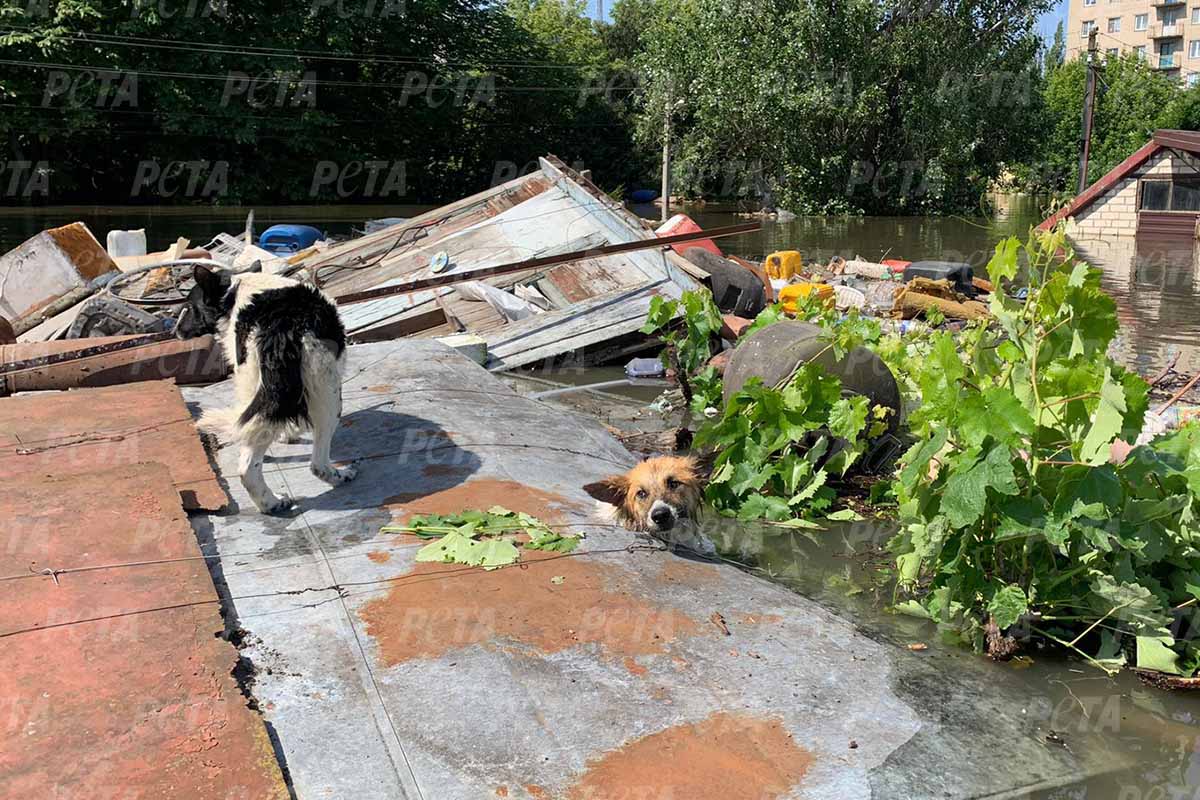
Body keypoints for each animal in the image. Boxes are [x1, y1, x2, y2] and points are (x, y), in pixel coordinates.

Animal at [176, 262, 355, 513]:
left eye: (189, 308)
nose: (175, 330)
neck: (232, 293)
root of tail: (280, 325)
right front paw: (291, 433)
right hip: (330, 393)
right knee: (315, 462)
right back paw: (332, 478)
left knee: (251, 445)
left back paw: (269, 501)